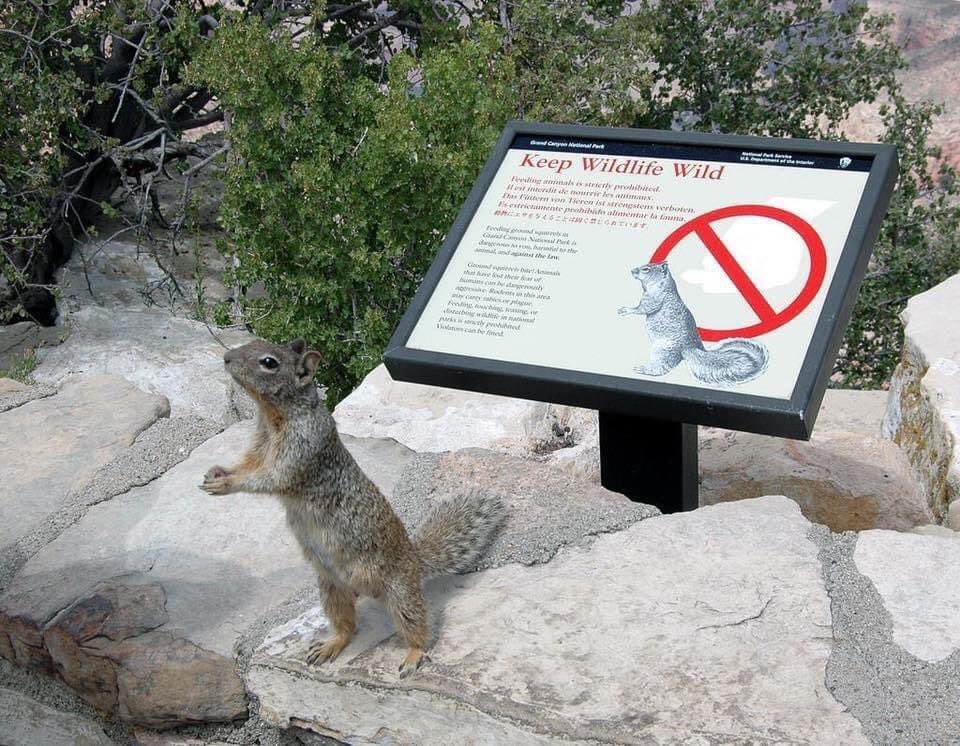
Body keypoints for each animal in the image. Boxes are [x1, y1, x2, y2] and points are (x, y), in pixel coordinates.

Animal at [199, 338, 504, 677]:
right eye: (252, 343)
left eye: (269, 362)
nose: (226, 358)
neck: (272, 416)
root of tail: (414, 559)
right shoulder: (257, 449)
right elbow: (246, 466)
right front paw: (218, 473)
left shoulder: (301, 452)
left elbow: (269, 479)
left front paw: (226, 484)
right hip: (331, 589)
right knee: (348, 626)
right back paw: (330, 645)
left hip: (400, 594)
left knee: (419, 626)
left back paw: (413, 655)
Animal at [617, 262, 769, 386]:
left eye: (646, 269)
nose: (632, 271)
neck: (663, 284)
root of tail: (688, 348)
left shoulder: (654, 297)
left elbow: (644, 308)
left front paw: (627, 310)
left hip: (662, 350)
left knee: (661, 368)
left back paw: (644, 369)